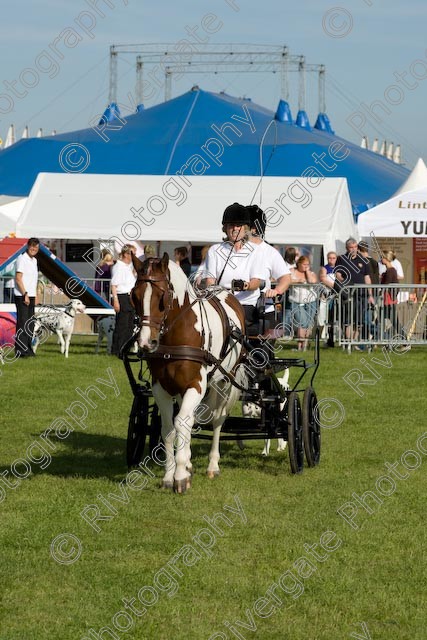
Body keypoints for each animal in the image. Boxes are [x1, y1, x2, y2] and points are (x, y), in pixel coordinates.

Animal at [132, 252, 249, 492]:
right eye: (134, 296)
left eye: (162, 296)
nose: (146, 343)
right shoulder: (161, 387)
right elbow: (170, 428)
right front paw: (172, 474)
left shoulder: (195, 384)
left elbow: (182, 422)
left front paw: (180, 477)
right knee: (188, 420)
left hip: (225, 382)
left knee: (217, 420)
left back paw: (212, 465)